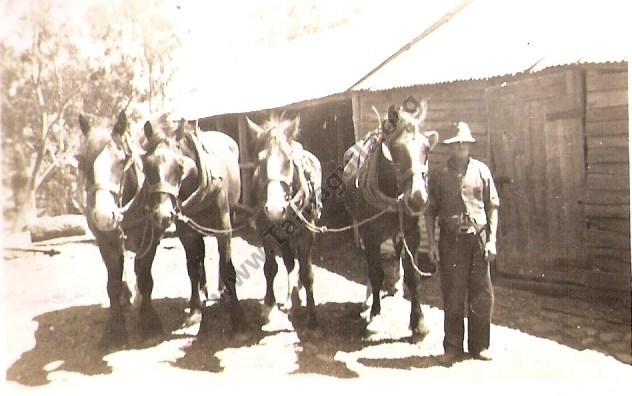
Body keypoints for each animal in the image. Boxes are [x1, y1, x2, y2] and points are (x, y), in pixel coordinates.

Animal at [79, 111, 178, 346]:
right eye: (84, 162)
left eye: (122, 159)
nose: (104, 216)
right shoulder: (106, 243)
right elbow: (113, 284)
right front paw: (115, 330)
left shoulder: (149, 239)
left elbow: (145, 278)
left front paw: (149, 323)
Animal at [344, 97, 436, 338]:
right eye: (395, 149)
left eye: (426, 148)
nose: (418, 198)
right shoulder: (370, 235)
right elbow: (376, 274)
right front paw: (375, 315)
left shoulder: (411, 232)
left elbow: (414, 276)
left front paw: (418, 321)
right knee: (371, 266)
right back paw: (368, 300)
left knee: (396, 250)